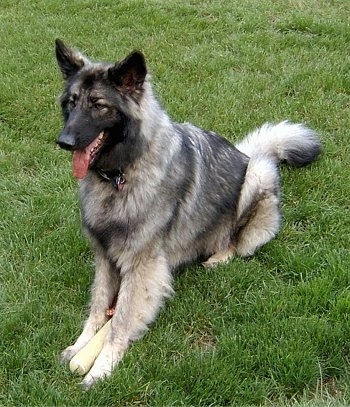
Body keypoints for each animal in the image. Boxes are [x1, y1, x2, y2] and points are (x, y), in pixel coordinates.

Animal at [55, 39, 322, 388]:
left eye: (99, 105)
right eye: (71, 103)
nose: (63, 141)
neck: (120, 176)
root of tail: (250, 154)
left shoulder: (142, 265)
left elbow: (122, 318)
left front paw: (101, 367)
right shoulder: (105, 256)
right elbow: (99, 306)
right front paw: (81, 346)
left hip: (257, 176)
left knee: (239, 243)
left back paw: (218, 256)